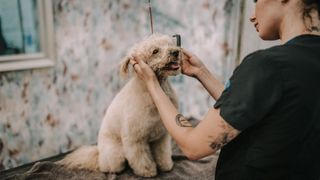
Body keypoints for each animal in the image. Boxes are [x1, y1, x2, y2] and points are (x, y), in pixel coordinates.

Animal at [57, 33, 181, 177]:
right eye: (155, 51)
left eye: (170, 44)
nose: (176, 52)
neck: (154, 93)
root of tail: (98, 154)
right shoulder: (135, 139)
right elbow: (141, 158)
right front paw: (148, 171)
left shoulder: (161, 136)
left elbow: (162, 153)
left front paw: (166, 166)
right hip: (116, 153)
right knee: (108, 167)